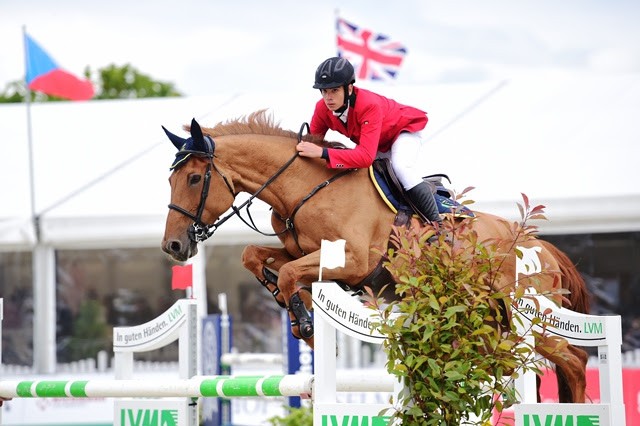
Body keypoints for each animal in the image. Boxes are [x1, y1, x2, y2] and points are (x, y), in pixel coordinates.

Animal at [161, 110, 592, 402]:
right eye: (171, 179)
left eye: (195, 178)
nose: (174, 247)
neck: (303, 188)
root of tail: (544, 248)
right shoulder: (299, 252)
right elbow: (257, 258)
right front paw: (289, 305)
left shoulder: (351, 262)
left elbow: (287, 275)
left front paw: (306, 323)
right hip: (491, 321)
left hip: (530, 317)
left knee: (574, 361)